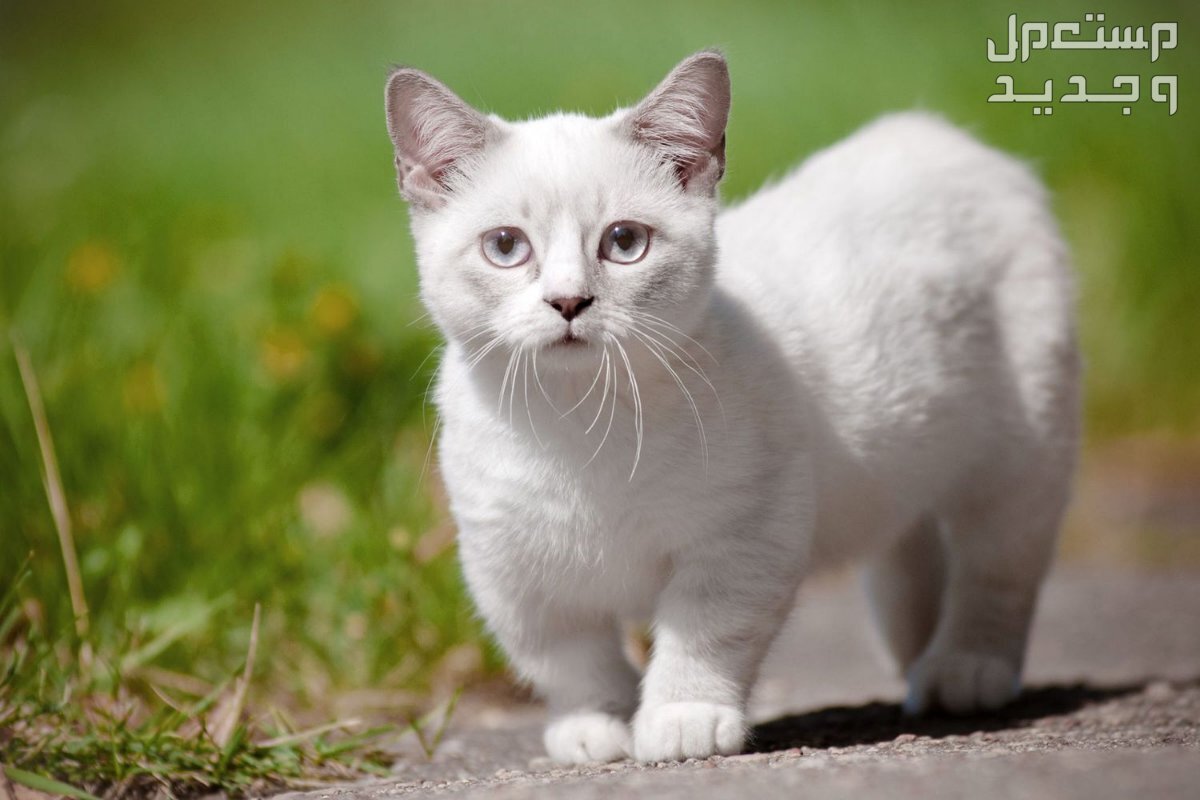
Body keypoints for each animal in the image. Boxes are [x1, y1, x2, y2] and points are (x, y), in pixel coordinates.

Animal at [388, 48, 1084, 762]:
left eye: (624, 242)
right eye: (506, 246)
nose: (568, 301)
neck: (578, 425)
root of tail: (935, 133)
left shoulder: (743, 536)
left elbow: (702, 636)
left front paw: (681, 718)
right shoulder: (511, 569)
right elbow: (569, 659)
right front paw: (593, 726)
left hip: (1022, 450)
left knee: (997, 569)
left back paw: (964, 669)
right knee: (908, 545)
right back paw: (916, 655)